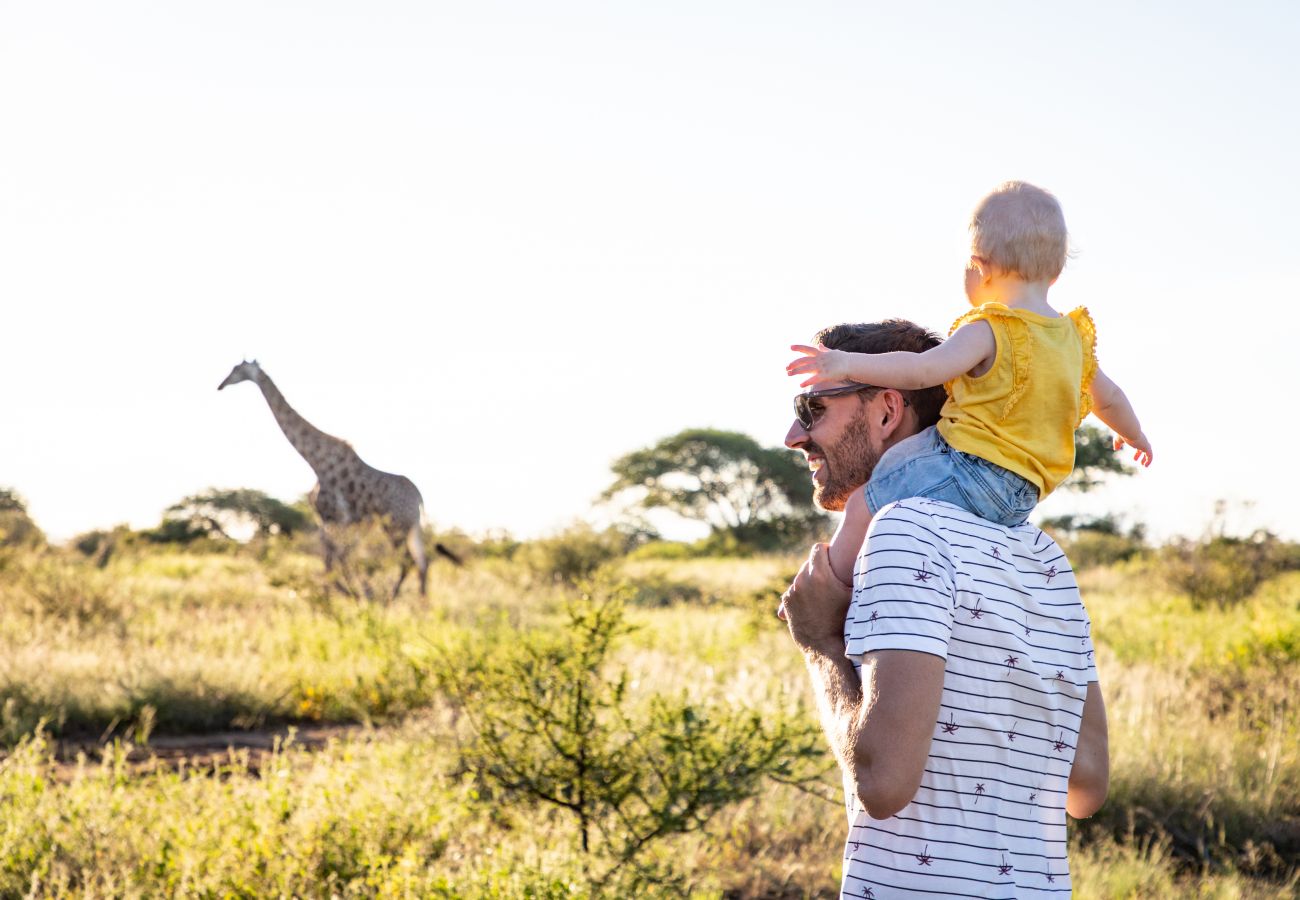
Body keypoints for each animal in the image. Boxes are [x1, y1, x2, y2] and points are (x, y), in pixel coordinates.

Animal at [215, 358, 454, 598]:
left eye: (237, 370)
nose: (220, 385)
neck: (316, 461)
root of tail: (419, 496)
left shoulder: (330, 516)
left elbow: (334, 557)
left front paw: (343, 592)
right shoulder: (331, 519)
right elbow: (335, 556)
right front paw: (345, 590)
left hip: (396, 524)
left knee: (407, 560)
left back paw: (390, 598)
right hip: (411, 525)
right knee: (422, 561)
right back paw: (419, 601)